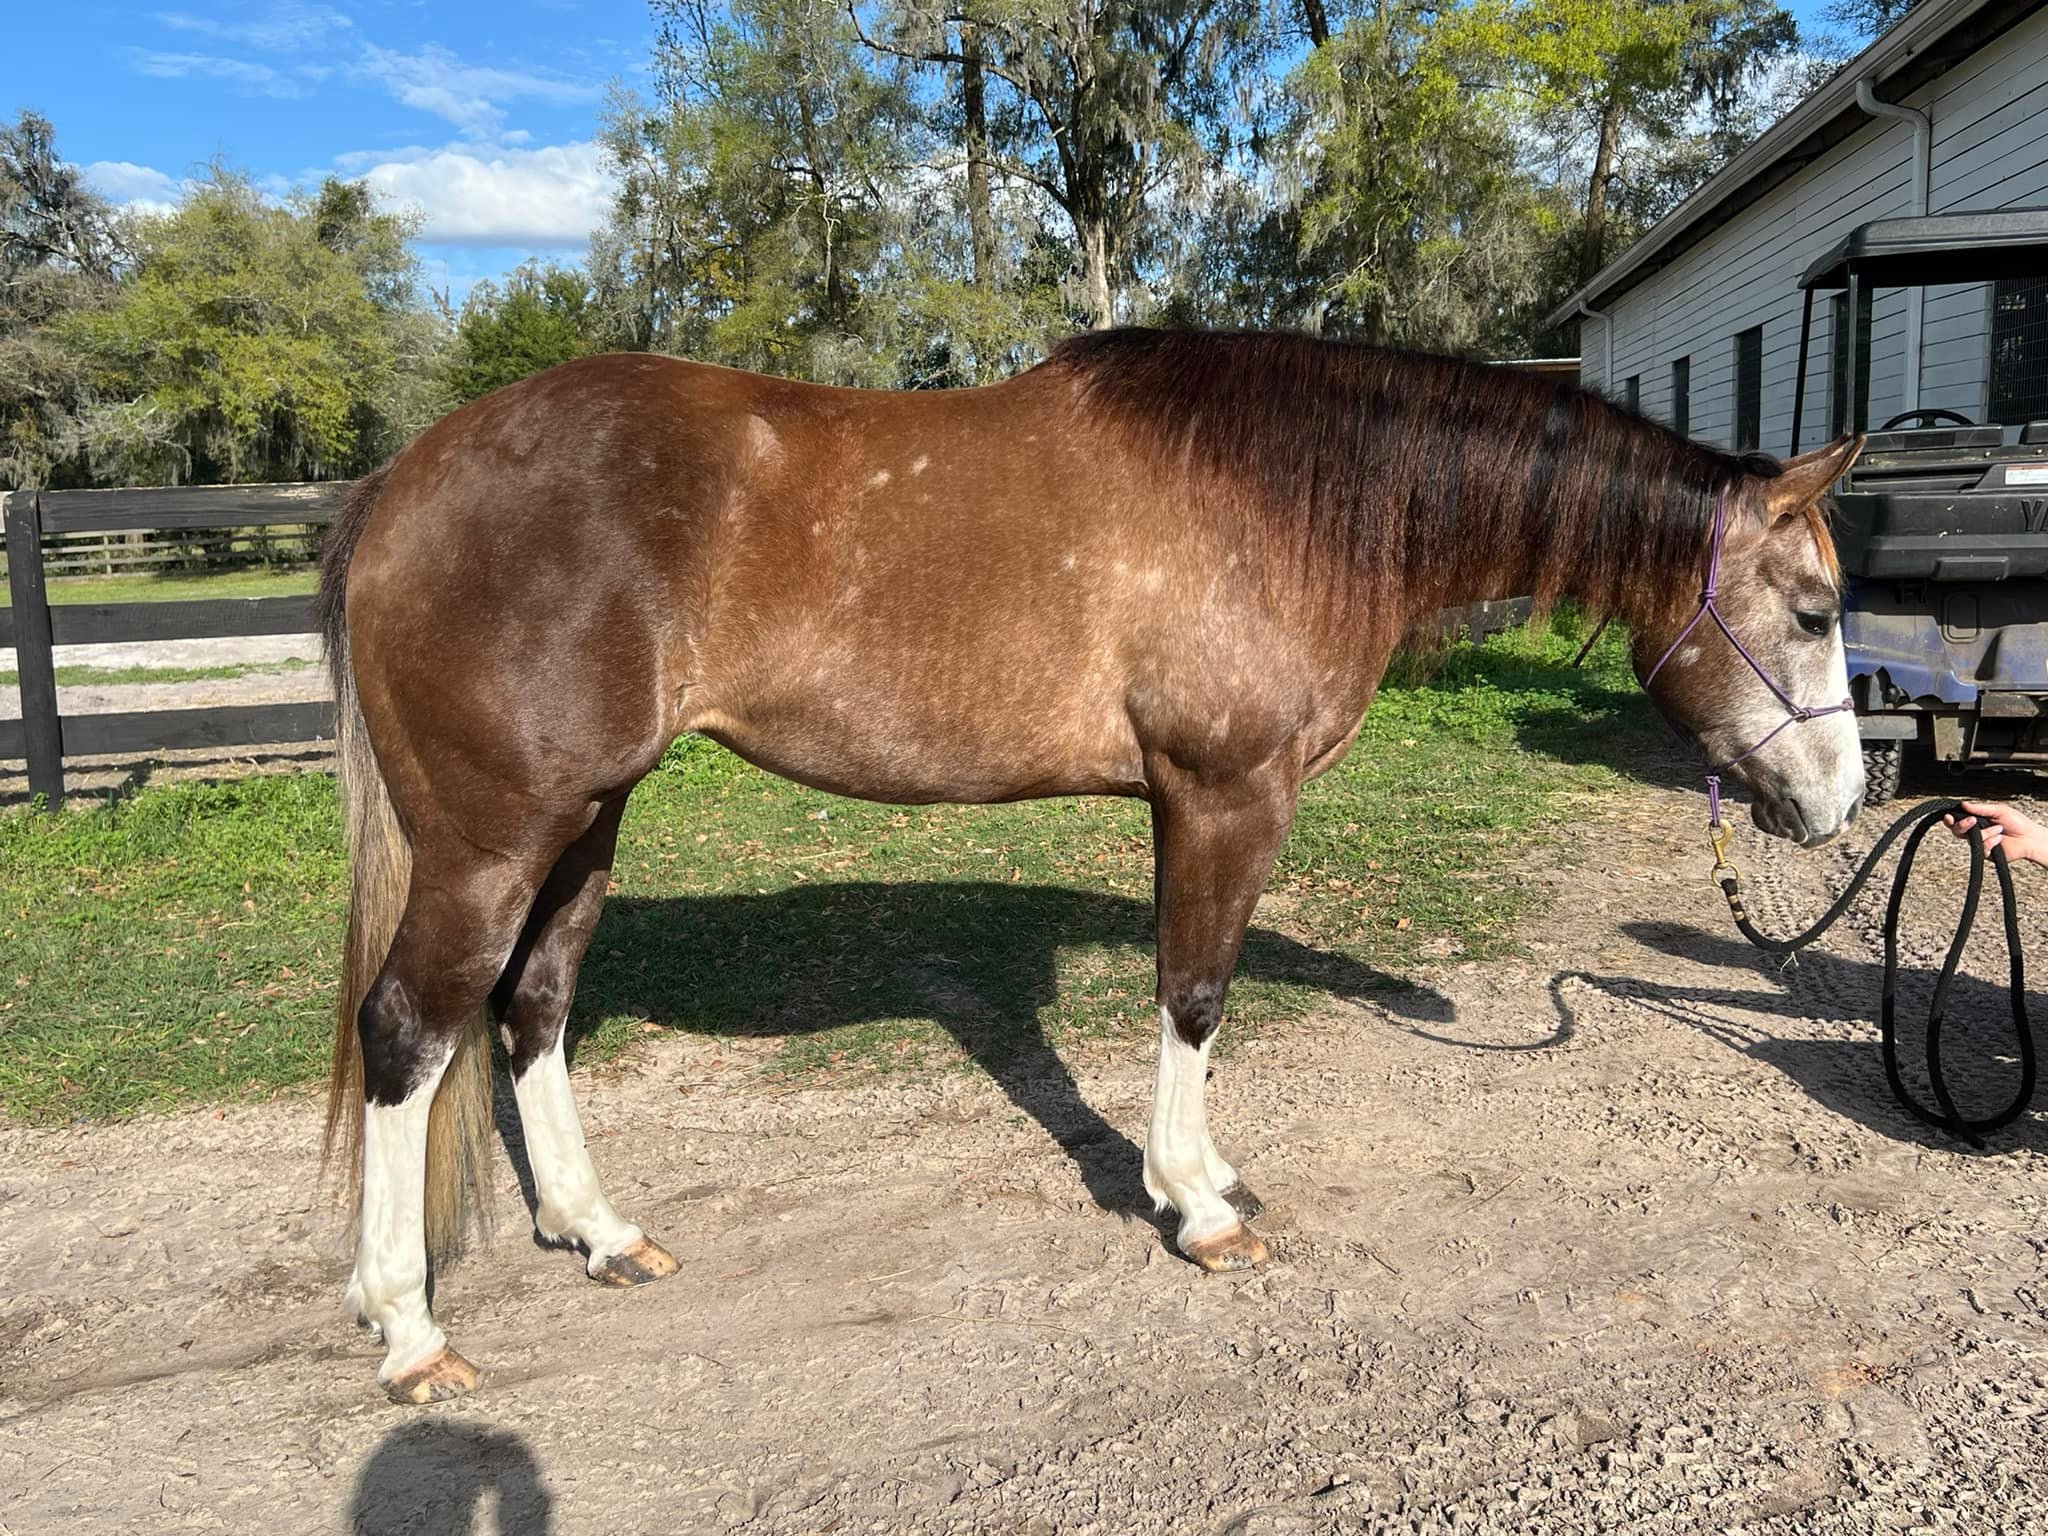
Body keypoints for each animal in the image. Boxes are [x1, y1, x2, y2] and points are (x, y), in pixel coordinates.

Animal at [318, 327, 1865, 1403]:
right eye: (1812, 610)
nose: (1843, 802)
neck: (1285, 502)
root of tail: (404, 481)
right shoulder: (1221, 798)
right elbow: (1195, 994)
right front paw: (1195, 1208)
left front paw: (1210, 1179)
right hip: (493, 840)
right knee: (409, 1033)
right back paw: (408, 1331)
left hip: (585, 823)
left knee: (531, 1012)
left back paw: (597, 1231)